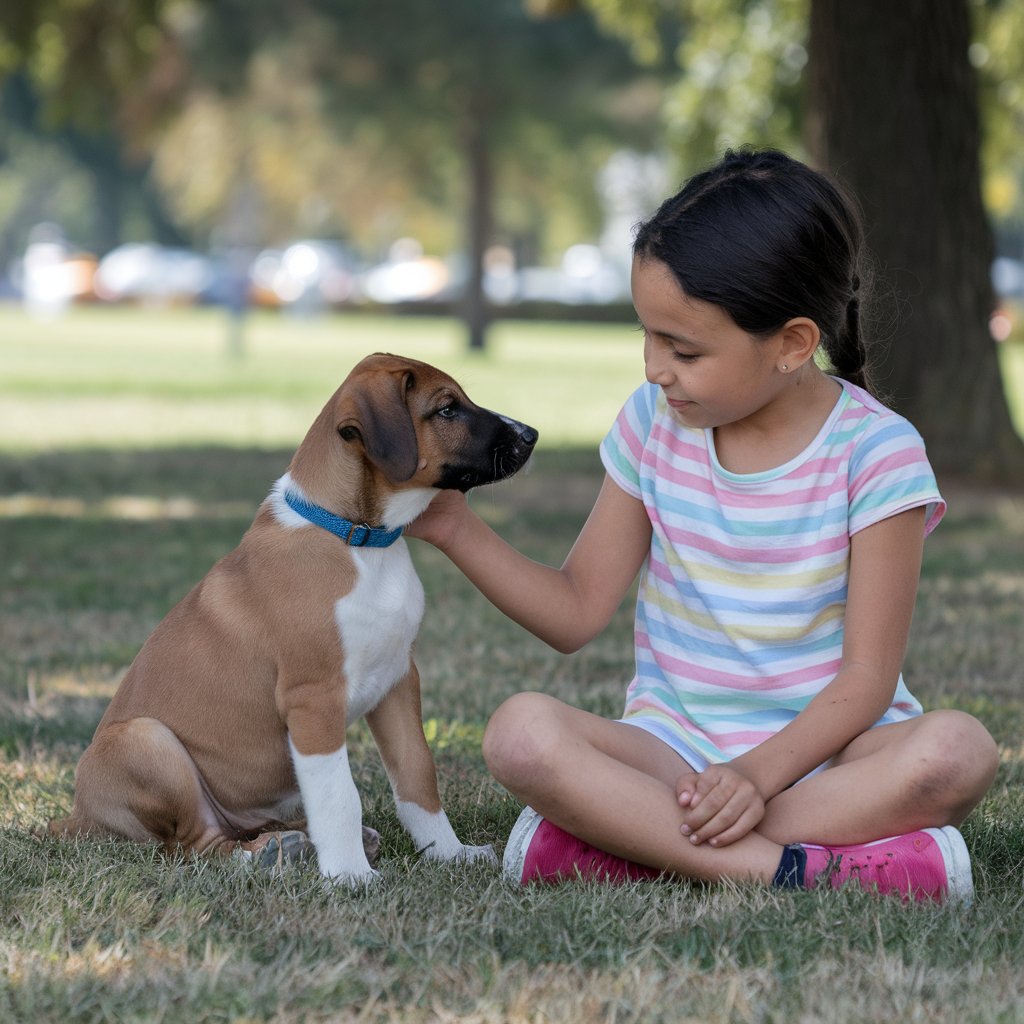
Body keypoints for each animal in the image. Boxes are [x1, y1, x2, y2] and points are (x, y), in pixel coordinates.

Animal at [51, 352, 540, 880]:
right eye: (447, 409)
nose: (531, 434)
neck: (360, 541)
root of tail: (77, 816)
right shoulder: (314, 699)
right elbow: (339, 794)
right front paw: (350, 877)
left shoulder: (397, 680)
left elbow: (417, 776)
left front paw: (449, 853)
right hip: (147, 739)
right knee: (193, 843)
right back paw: (266, 853)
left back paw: (298, 840)